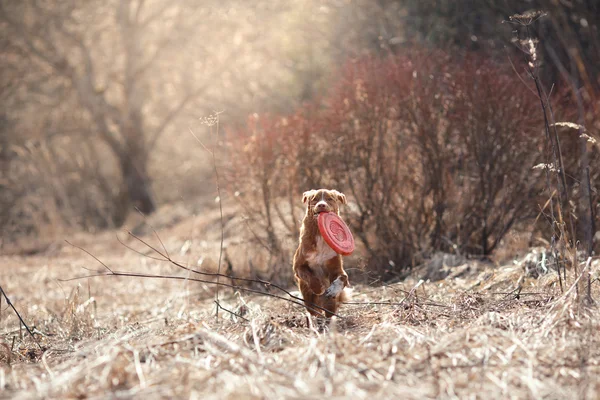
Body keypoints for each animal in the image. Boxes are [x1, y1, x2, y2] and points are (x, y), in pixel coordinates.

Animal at [292, 188, 350, 318]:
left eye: (330, 199)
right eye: (315, 199)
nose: (321, 205)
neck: (320, 234)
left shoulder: (336, 268)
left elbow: (343, 277)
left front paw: (332, 290)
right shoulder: (298, 266)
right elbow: (309, 276)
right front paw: (318, 288)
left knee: (329, 309)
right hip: (306, 294)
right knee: (312, 309)